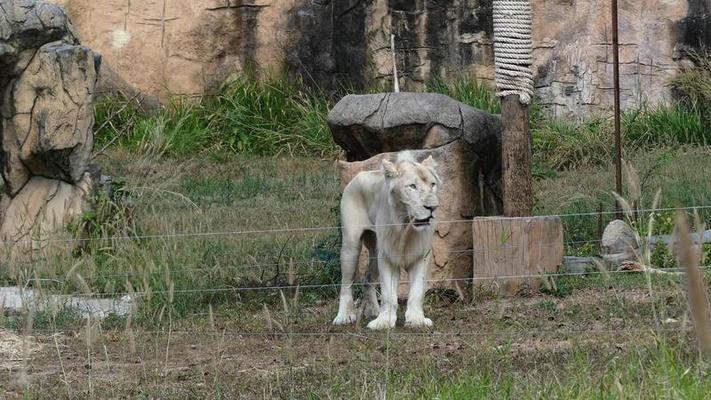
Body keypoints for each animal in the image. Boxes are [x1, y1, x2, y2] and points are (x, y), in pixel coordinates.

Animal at [332, 152, 440, 330]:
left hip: (375, 253)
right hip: (351, 245)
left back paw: (374, 311)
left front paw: (416, 320)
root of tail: (361, 173)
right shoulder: (387, 256)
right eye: (412, 186)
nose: (433, 207)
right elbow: (388, 294)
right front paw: (384, 322)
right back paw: (344, 316)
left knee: (368, 280)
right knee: (346, 283)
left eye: (433, 184)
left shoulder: (421, 256)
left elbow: (417, 291)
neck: (405, 227)